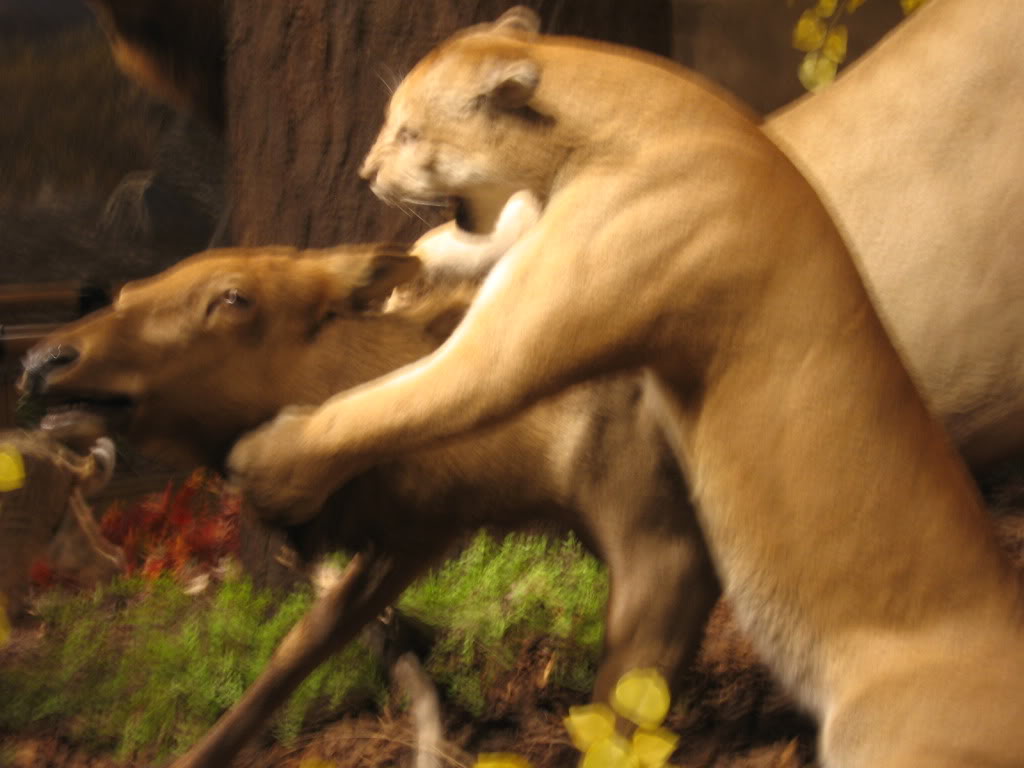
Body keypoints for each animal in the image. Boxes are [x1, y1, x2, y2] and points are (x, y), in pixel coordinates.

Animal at [22, 242, 717, 768]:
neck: (518, 455)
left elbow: (620, 715)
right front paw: (198, 754)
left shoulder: (663, 542)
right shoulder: (417, 529)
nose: (41, 359)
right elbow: (302, 645)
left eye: (235, 297)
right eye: (132, 286)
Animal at [226, 8, 1024, 767]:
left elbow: (392, 402)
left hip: (885, 732)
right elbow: (482, 242)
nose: (365, 171)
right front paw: (408, 273)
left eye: (408, 129)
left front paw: (271, 464)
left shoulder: (511, 342)